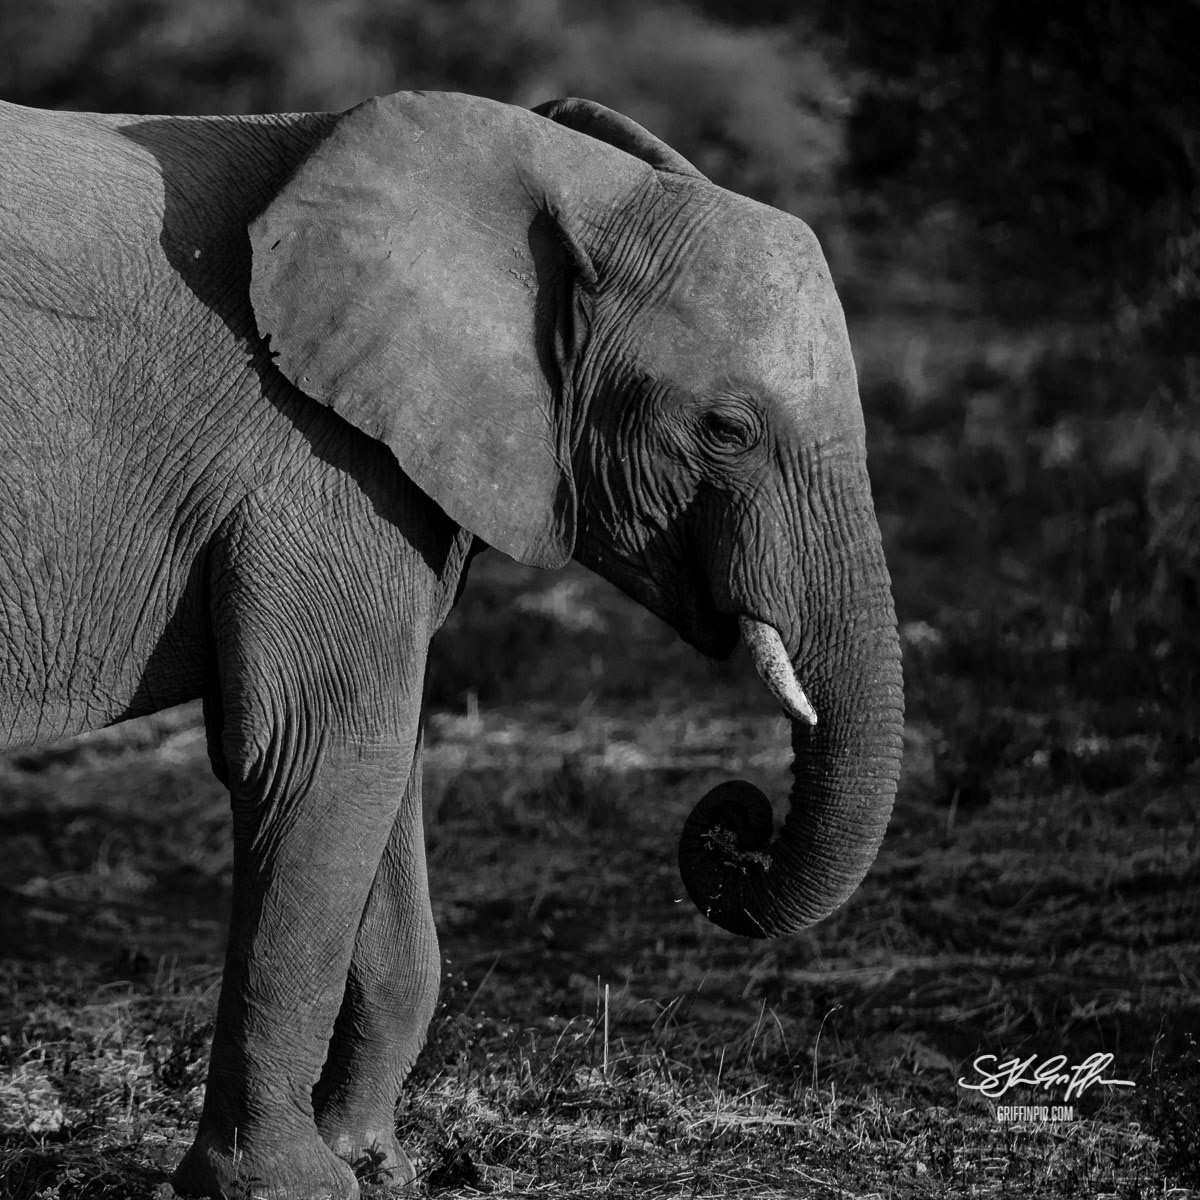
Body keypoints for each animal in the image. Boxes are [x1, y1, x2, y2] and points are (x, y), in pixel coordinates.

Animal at [0, 90, 903, 1198]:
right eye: (726, 430)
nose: (741, 820)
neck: (553, 174)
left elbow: (381, 767)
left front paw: (376, 1161)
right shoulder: (311, 460)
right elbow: (323, 755)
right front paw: (294, 1186)